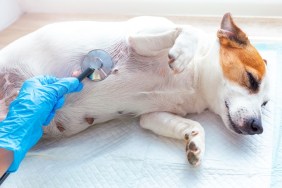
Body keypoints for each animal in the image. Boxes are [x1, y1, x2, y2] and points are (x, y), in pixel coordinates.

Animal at [0, 13, 268, 166]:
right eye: (251, 79)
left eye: (264, 105)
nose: (258, 127)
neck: (195, 80)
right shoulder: (137, 38)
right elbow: (186, 29)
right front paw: (182, 54)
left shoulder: (151, 117)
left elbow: (193, 125)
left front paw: (195, 143)